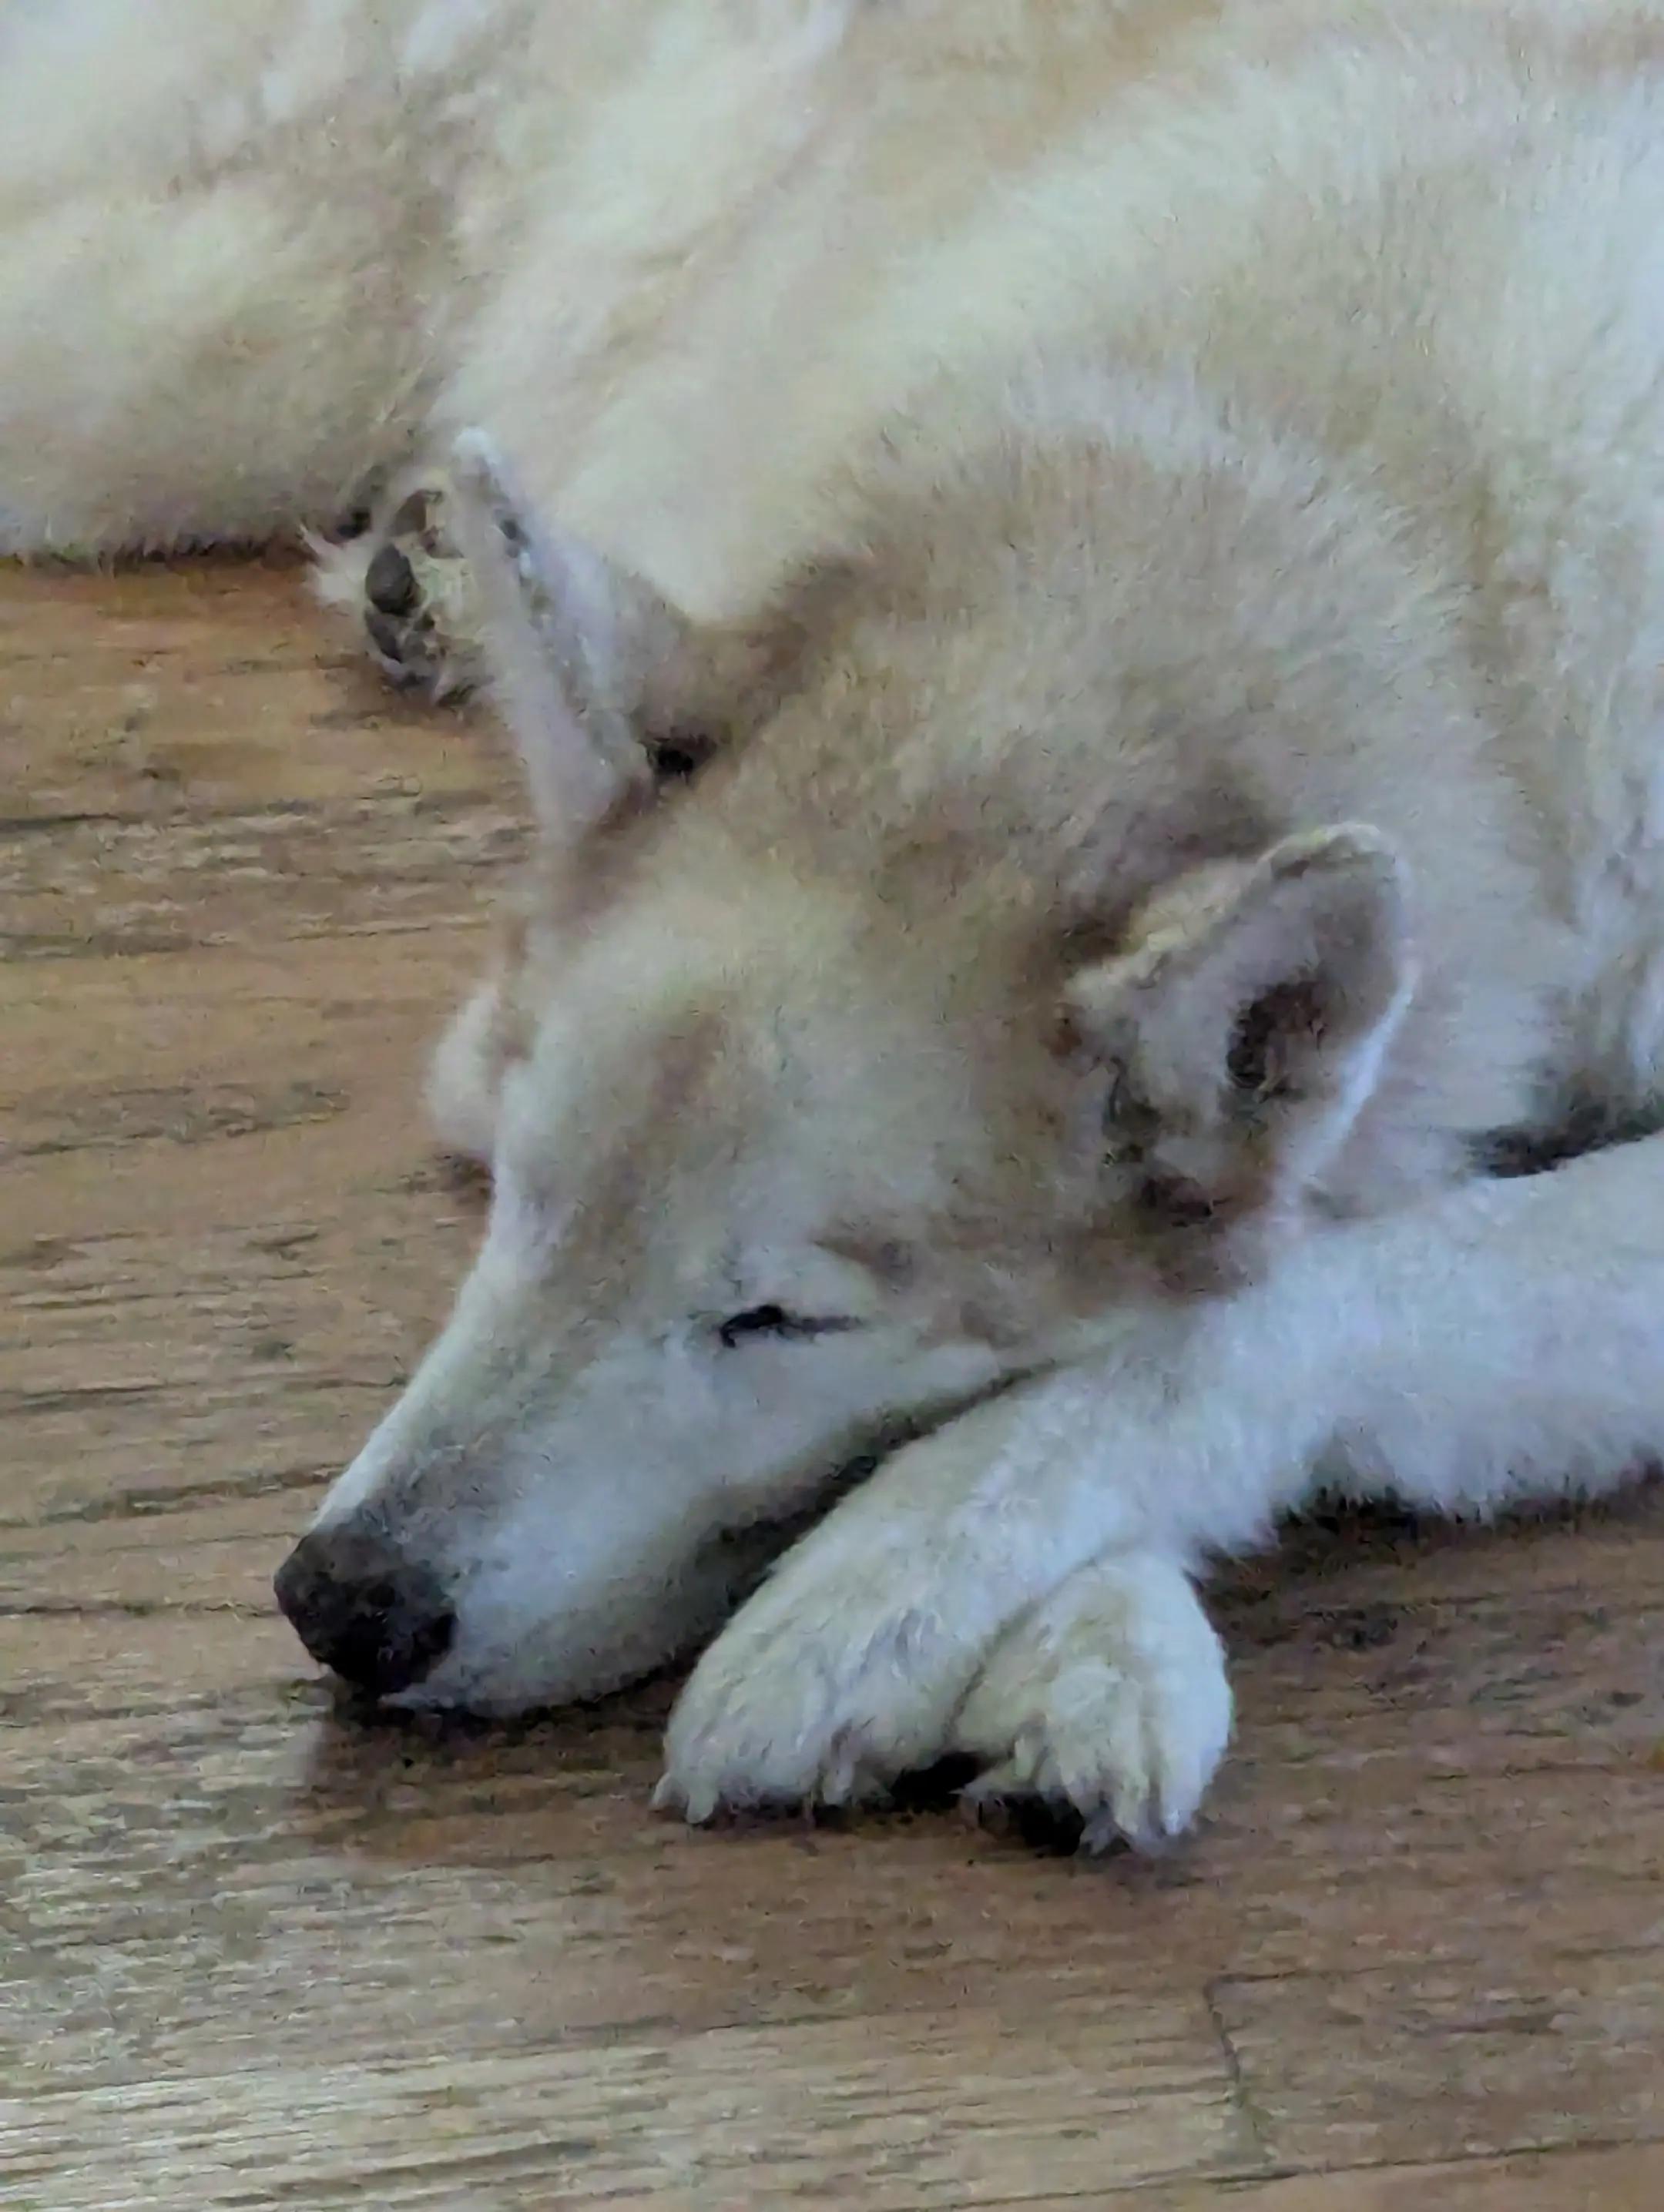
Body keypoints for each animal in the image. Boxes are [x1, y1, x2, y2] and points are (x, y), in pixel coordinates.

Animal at [11, 0, 1664, 1848]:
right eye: (522, 1193)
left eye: (780, 1322)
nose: (345, 1600)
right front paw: (1069, 1631)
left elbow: (1287, 1299)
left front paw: (947, 1591)